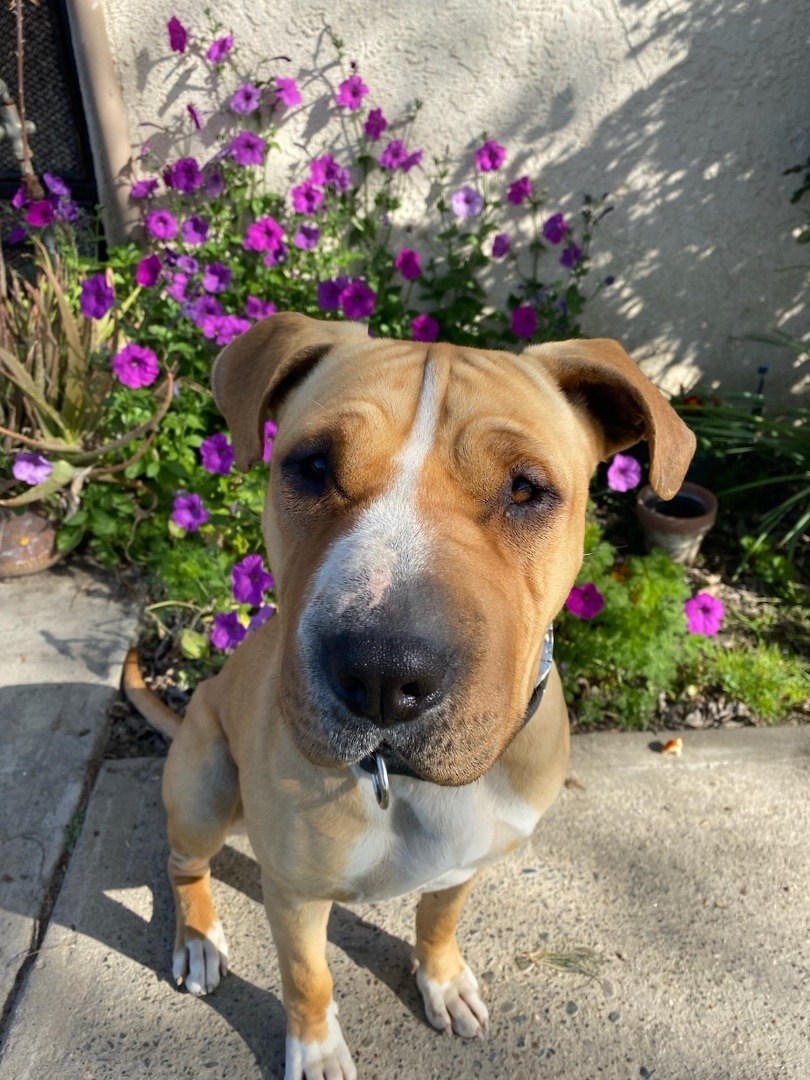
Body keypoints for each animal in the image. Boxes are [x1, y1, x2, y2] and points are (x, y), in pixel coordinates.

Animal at [123, 313, 695, 1080]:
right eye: (312, 466)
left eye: (526, 489)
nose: (382, 675)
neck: (405, 782)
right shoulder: (296, 894)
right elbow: (309, 978)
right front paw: (317, 1049)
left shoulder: (467, 862)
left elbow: (438, 919)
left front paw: (442, 981)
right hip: (205, 783)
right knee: (184, 864)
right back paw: (197, 939)